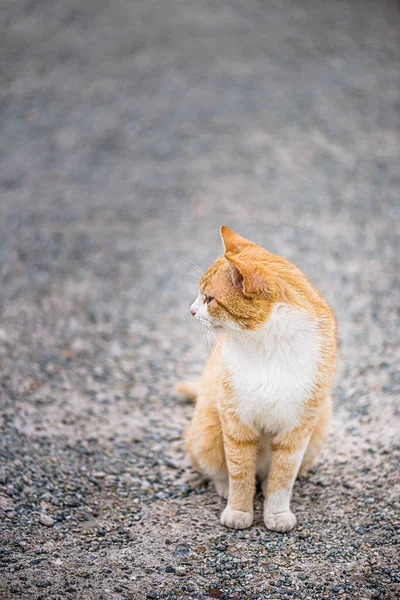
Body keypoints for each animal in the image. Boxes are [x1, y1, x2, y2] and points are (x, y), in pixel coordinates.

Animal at [177, 225, 336, 528]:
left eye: (209, 298)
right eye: (200, 296)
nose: (190, 311)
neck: (267, 344)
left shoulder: (297, 429)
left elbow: (282, 478)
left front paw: (277, 513)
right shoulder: (236, 421)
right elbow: (240, 472)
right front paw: (238, 509)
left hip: (319, 428)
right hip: (206, 431)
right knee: (220, 470)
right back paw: (225, 486)